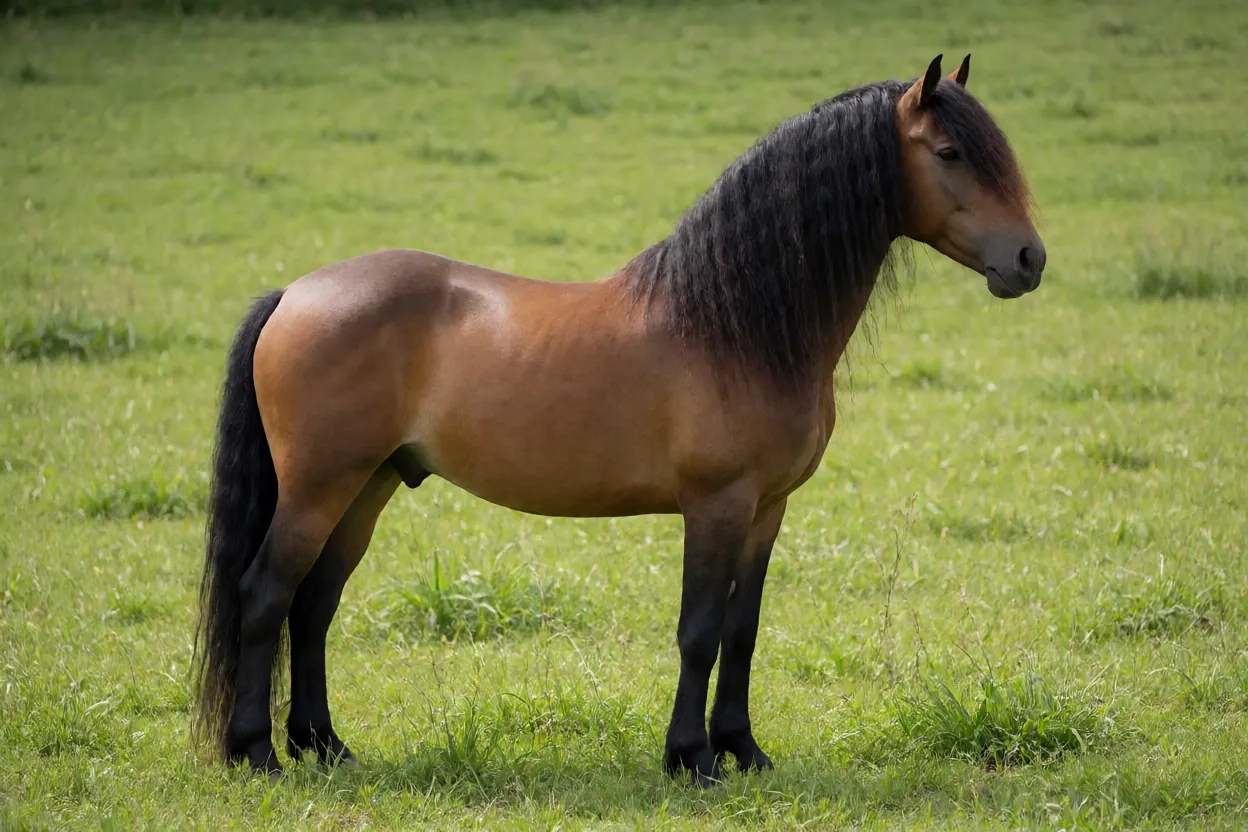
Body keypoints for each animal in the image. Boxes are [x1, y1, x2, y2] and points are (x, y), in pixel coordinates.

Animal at [192, 53, 1044, 787]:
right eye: (950, 152)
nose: (1030, 261)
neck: (734, 326)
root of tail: (295, 293)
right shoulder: (717, 504)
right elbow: (699, 629)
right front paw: (692, 759)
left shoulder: (769, 508)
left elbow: (742, 630)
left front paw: (744, 751)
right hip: (318, 489)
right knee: (265, 595)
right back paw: (257, 754)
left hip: (368, 486)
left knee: (314, 605)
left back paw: (325, 745)